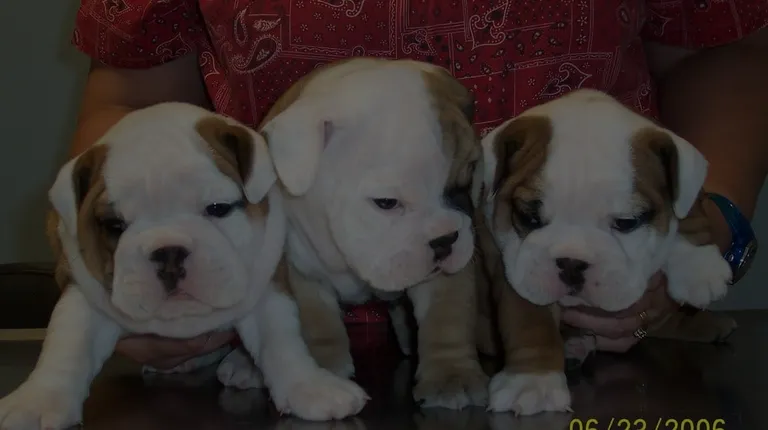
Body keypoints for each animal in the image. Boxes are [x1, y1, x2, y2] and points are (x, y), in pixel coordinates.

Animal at [0, 102, 365, 429]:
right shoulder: (81, 291)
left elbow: (282, 340)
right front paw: (37, 402)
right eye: (114, 226)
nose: (169, 252)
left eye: (218, 208)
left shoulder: (269, 286)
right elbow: (67, 345)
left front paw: (310, 387)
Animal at [259, 57, 489, 409]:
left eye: (463, 186)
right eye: (386, 203)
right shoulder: (300, 270)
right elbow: (316, 323)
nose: (444, 240)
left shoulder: (449, 273)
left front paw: (451, 375)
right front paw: (324, 370)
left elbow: (446, 318)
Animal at [473, 89, 735, 415]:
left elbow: (689, 208)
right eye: (529, 217)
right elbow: (529, 318)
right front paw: (533, 380)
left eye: (627, 222)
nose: (571, 263)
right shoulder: (512, 267)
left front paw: (698, 267)